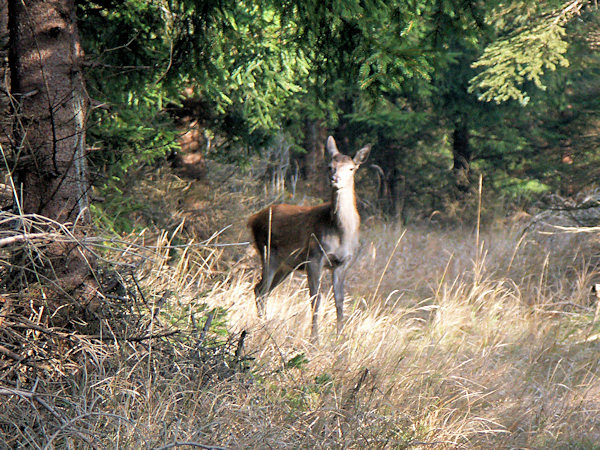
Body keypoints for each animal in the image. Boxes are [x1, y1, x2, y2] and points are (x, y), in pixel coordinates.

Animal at [247, 136, 370, 342]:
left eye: (351, 168)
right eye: (330, 166)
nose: (334, 179)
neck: (339, 231)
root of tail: (252, 219)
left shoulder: (342, 263)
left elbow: (339, 300)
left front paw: (340, 338)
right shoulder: (314, 257)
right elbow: (316, 299)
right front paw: (314, 339)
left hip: (286, 265)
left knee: (262, 290)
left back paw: (265, 325)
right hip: (267, 252)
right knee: (261, 290)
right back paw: (262, 327)